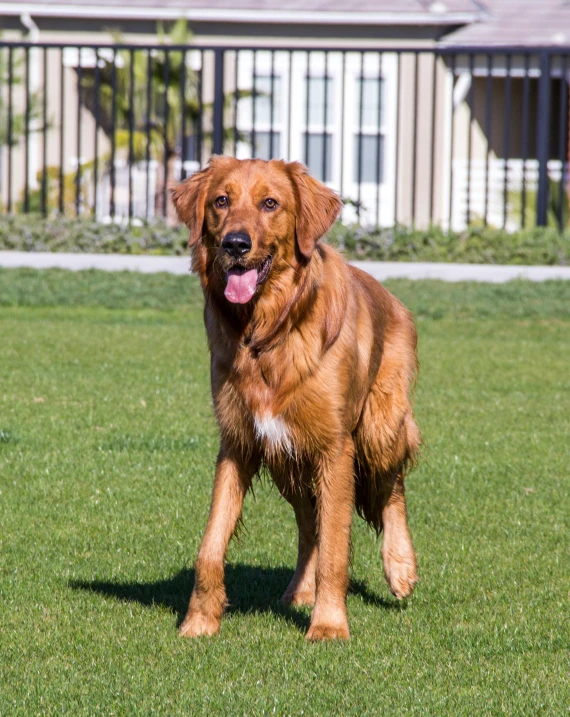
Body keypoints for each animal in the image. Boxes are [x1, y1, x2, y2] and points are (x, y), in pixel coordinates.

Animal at [169, 157, 418, 636]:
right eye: (220, 201)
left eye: (270, 204)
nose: (235, 244)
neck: (267, 332)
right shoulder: (239, 443)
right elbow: (211, 544)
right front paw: (200, 622)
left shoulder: (335, 448)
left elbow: (337, 546)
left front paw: (329, 626)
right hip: (288, 459)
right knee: (309, 526)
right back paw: (299, 591)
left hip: (378, 430)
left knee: (391, 489)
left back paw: (400, 567)